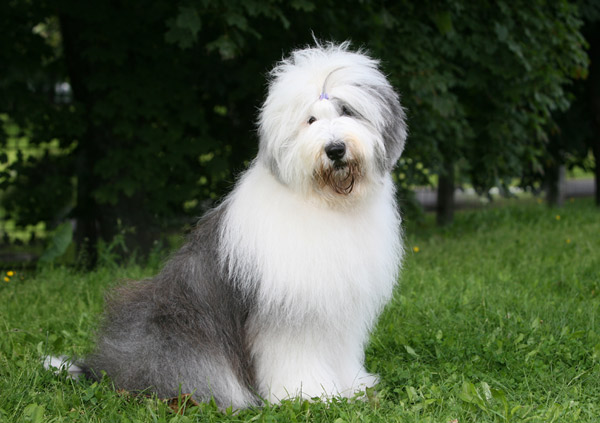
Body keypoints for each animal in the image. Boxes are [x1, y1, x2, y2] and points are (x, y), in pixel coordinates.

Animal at [49, 41, 408, 410]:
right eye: (310, 120)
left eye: (347, 111)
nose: (335, 149)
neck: (324, 202)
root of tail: (106, 369)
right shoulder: (291, 313)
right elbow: (298, 356)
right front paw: (308, 394)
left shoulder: (341, 310)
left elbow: (343, 352)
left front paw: (354, 386)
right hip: (178, 335)